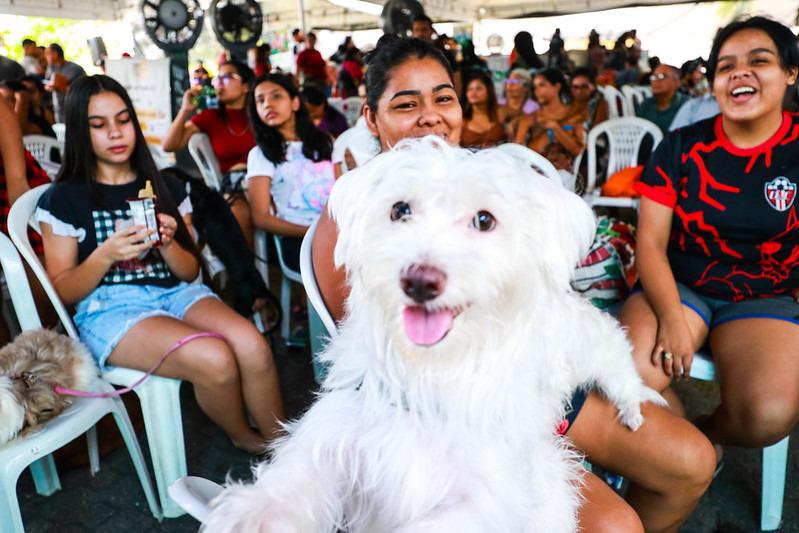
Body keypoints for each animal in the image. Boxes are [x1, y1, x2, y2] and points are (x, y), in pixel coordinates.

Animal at [203, 137, 664, 532]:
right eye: (400, 210)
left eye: (484, 220)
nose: (419, 281)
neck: (431, 369)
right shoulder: (338, 437)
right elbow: (288, 487)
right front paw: (248, 517)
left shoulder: (489, 495)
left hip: (606, 360)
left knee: (626, 384)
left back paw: (633, 412)